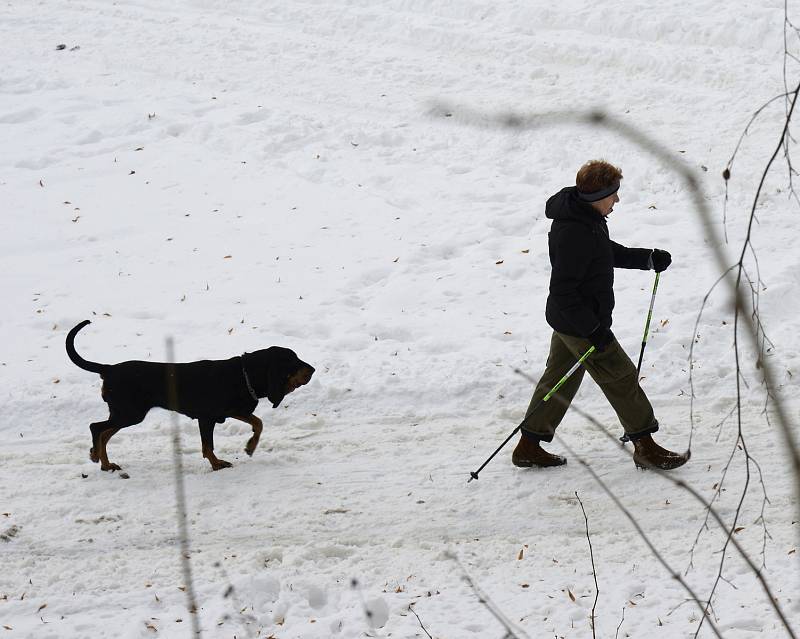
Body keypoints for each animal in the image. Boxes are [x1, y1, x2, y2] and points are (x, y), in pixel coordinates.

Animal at [66, 322, 316, 472]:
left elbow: (258, 422)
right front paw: (219, 463)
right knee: (96, 428)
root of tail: (108, 369)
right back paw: (98, 458)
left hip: (124, 413)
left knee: (104, 433)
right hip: (129, 413)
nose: (313, 369)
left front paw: (250, 446)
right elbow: (209, 446)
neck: (244, 375)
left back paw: (104, 462)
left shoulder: (231, 412)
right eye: (293, 362)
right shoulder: (207, 418)